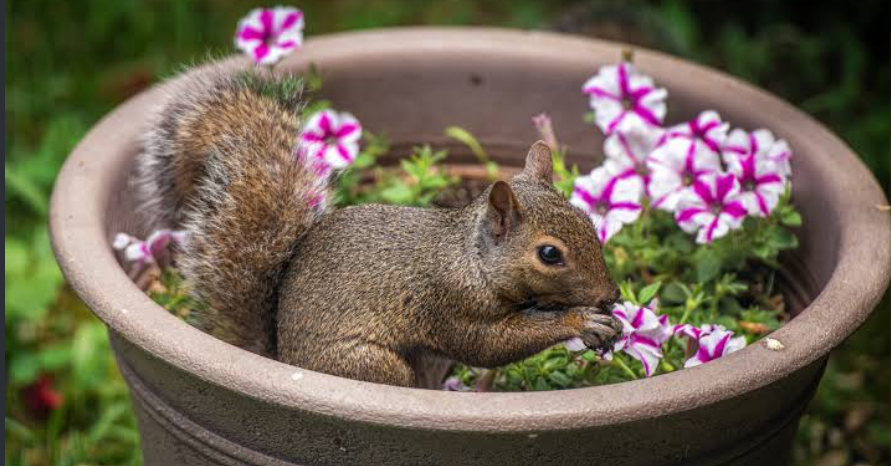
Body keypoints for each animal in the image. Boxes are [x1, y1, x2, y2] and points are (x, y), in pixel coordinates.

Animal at [135, 66, 623, 388]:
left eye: (587, 219)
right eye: (549, 253)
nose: (612, 294)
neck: (472, 260)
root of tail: (283, 358)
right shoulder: (448, 302)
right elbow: (487, 345)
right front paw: (580, 320)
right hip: (371, 365)